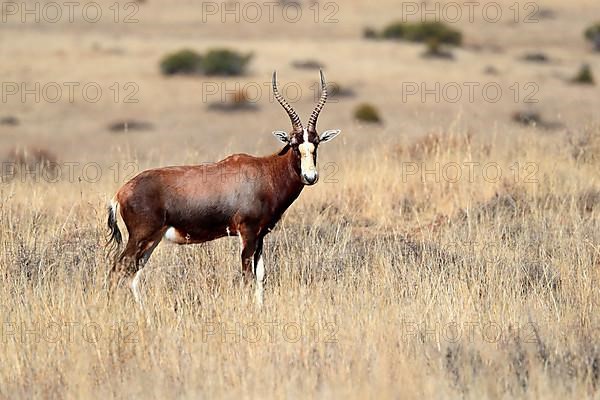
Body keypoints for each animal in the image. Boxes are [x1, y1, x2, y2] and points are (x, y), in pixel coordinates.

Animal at [106, 70, 342, 304]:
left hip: (152, 240)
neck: (265, 171)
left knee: (132, 276)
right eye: (293, 145)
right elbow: (247, 275)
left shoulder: (260, 236)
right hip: (141, 237)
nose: (310, 176)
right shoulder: (247, 233)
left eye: (316, 143)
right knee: (117, 270)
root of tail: (120, 193)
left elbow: (260, 275)